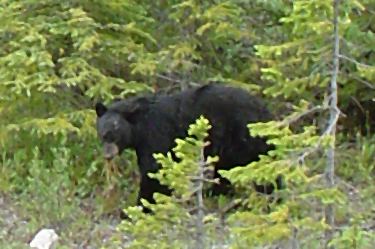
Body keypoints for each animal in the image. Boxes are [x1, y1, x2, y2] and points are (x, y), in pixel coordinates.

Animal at [94, 84, 276, 207]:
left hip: (242, 136)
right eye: (102, 134)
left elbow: (154, 170)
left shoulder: (156, 134)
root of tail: (265, 110)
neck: (139, 127)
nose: (107, 155)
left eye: (114, 134)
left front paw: (141, 206)